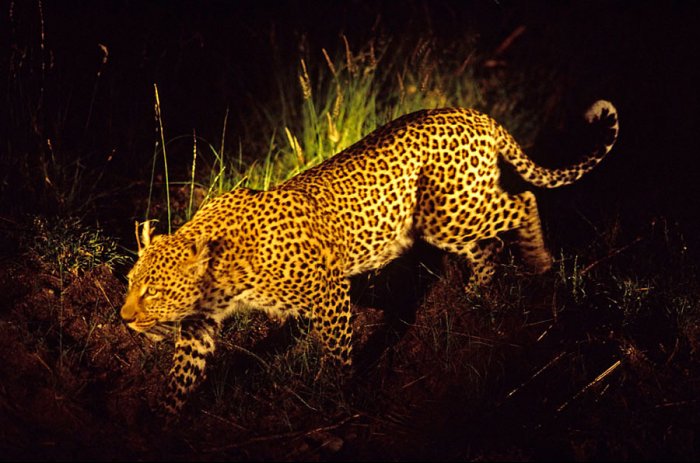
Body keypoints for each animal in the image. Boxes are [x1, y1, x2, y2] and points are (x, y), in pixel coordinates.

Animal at [120, 100, 619, 416]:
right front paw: (162, 418)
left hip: (450, 214)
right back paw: (477, 293)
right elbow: (184, 374)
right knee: (489, 245)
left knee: (524, 201)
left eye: (155, 291)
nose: (125, 318)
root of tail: (471, 113)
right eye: (129, 284)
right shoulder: (199, 323)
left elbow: (338, 348)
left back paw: (540, 263)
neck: (220, 271)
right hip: (445, 222)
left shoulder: (328, 292)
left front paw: (333, 395)